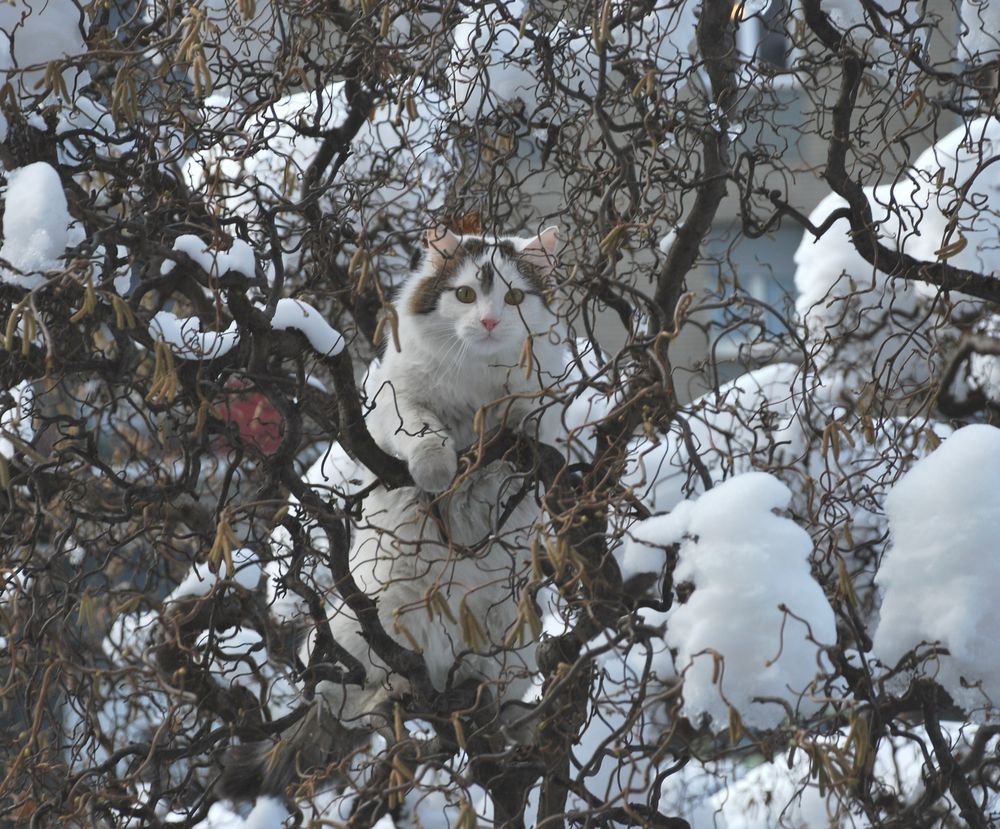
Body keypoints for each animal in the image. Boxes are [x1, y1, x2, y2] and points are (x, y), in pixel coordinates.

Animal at [220, 223, 568, 800]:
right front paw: (438, 472)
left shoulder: (538, 404)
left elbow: (535, 428)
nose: (490, 322)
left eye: (515, 299)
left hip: (512, 643)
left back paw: (509, 714)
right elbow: (429, 438)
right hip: (366, 632)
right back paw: (393, 698)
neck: (477, 382)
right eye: (465, 295)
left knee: (497, 696)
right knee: (363, 703)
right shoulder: (397, 405)